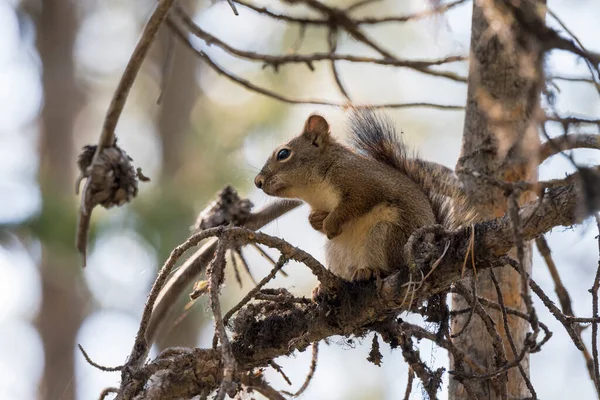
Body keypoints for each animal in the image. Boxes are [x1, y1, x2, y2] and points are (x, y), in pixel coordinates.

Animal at [253, 106, 474, 282]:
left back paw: (370, 271)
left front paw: (330, 223)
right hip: (336, 252)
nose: (258, 182)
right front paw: (315, 220)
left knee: (390, 266)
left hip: (389, 236)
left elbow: (355, 204)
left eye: (283, 154)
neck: (315, 191)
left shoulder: (363, 183)